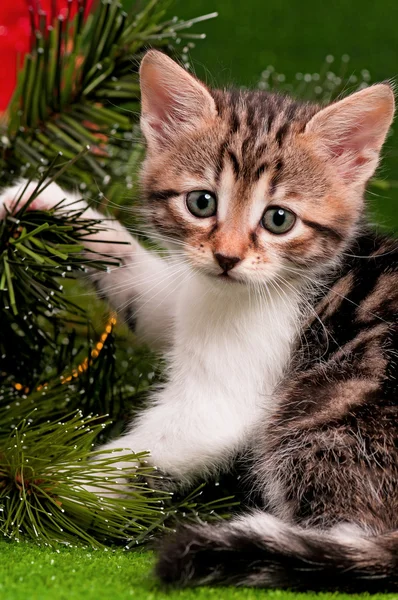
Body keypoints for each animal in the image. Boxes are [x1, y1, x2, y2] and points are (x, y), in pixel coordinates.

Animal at [0, 50, 398, 592]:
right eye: (201, 202)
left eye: (279, 219)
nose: (227, 258)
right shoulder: (186, 292)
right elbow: (148, 293)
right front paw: (45, 202)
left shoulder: (227, 394)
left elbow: (164, 440)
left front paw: (49, 479)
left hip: (328, 401)